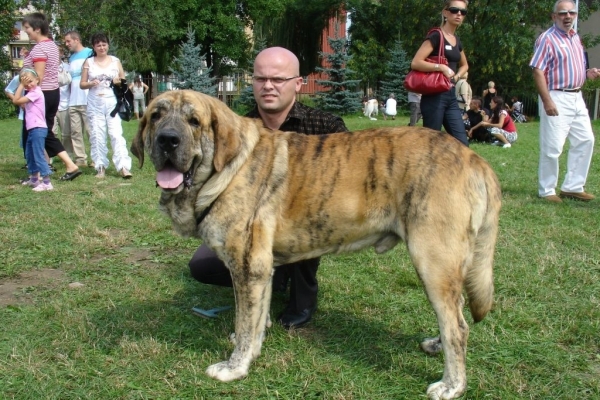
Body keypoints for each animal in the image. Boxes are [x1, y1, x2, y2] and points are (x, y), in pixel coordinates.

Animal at [132, 90, 502, 400]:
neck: (227, 168)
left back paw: (451, 385)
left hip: (432, 260)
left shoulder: (247, 266)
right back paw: (437, 346)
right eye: (156, 116)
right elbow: (256, 318)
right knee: (454, 313)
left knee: (457, 327)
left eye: (194, 121)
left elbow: (245, 319)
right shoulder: (260, 269)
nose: (167, 140)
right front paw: (251, 348)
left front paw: (234, 367)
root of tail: (474, 159)